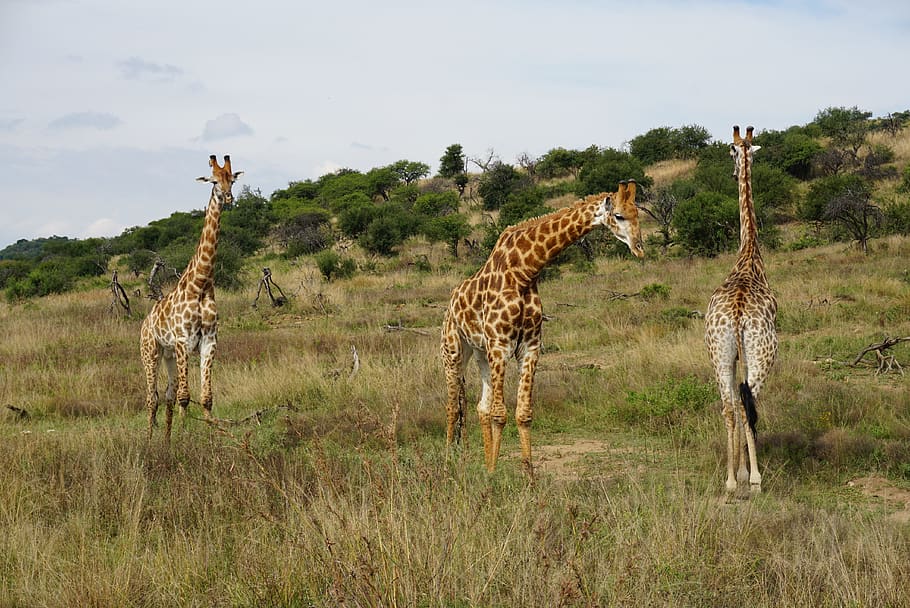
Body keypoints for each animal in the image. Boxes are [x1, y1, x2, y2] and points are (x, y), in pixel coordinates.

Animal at [140, 154, 243, 443]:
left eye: (232, 179)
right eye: (213, 180)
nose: (228, 198)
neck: (201, 284)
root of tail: (144, 322)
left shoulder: (209, 341)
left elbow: (205, 397)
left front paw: (210, 438)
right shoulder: (183, 340)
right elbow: (186, 397)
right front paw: (186, 439)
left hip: (168, 355)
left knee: (167, 395)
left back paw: (165, 441)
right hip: (150, 352)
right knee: (151, 398)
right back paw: (149, 441)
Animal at [442, 181, 644, 474]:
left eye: (638, 213)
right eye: (618, 215)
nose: (639, 247)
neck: (525, 272)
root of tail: (450, 304)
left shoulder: (529, 347)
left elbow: (523, 414)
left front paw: (526, 475)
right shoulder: (501, 346)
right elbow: (500, 414)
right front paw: (494, 477)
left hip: (480, 353)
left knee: (481, 407)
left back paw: (485, 464)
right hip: (454, 351)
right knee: (452, 407)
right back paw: (448, 464)